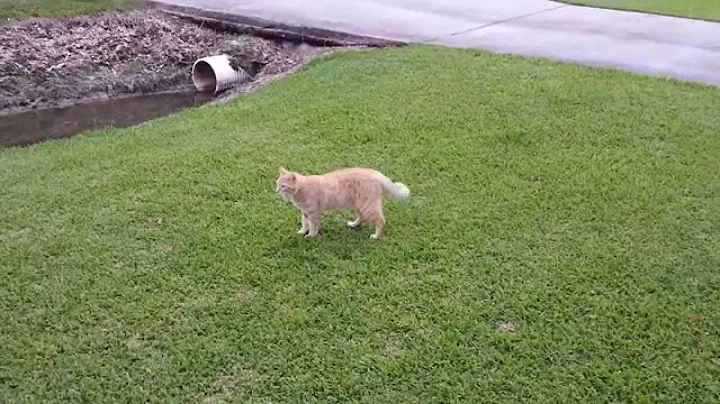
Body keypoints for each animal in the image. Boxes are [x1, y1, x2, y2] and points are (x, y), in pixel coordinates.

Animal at [276, 166, 410, 238]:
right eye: (277, 184)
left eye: (283, 186)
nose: (276, 191)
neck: (301, 190)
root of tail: (376, 173)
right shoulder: (305, 213)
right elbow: (305, 223)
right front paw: (303, 231)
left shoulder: (313, 213)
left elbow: (313, 226)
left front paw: (310, 236)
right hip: (359, 205)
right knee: (362, 217)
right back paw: (354, 225)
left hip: (368, 207)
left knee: (381, 221)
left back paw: (376, 236)